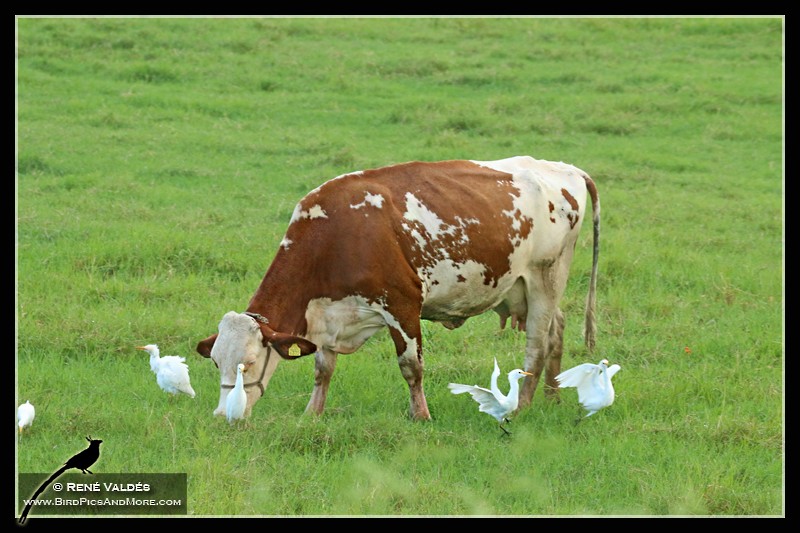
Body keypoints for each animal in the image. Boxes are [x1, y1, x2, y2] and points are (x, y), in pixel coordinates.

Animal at [197, 155, 600, 420]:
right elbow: (323, 368)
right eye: (216, 361)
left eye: (249, 363)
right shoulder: (327, 315)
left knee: (537, 344)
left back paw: (524, 406)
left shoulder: (402, 304)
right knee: (556, 330)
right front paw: (313, 412)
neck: (339, 234)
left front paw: (421, 416)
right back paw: (552, 397)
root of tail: (565, 168)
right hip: (527, 288)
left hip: (545, 277)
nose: (221, 416)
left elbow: (411, 367)